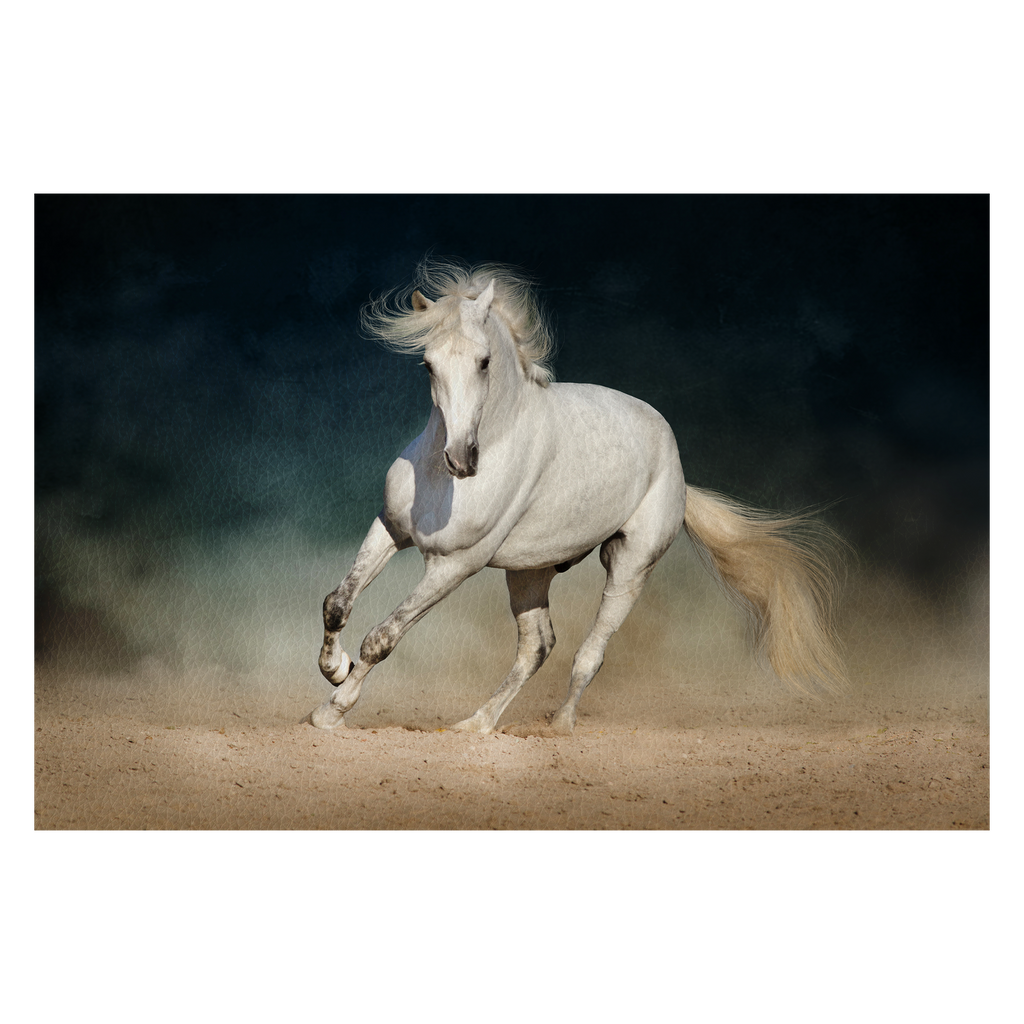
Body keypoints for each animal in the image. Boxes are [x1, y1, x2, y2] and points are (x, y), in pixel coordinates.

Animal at [305, 260, 847, 733]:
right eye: (427, 364)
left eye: (484, 362)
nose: (461, 460)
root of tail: (677, 468)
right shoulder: (391, 529)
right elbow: (337, 602)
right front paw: (334, 668)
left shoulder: (454, 565)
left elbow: (382, 637)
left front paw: (331, 711)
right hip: (529, 572)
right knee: (537, 647)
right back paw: (475, 725)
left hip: (629, 566)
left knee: (589, 653)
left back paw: (558, 727)